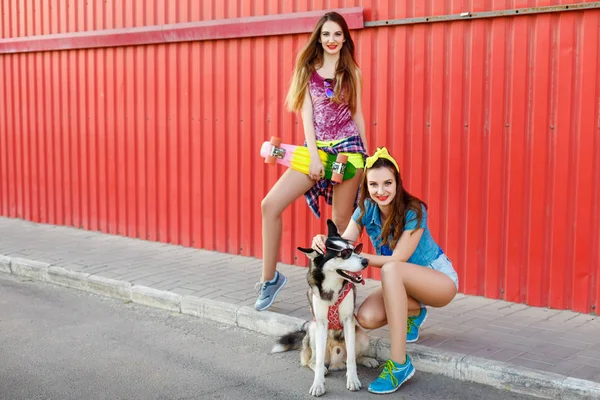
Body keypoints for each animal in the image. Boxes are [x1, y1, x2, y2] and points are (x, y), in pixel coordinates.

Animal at [270, 219, 378, 396]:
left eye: (354, 249)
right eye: (344, 254)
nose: (365, 261)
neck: (332, 286)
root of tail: (336, 362)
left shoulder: (348, 321)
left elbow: (352, 359)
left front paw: (353, 380)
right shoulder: (320, 323)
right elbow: (320, 361)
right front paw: (318, 385)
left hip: (361, 335)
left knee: (352, 357)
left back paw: (365, 360)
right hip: (312, 329)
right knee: (312, 360)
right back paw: (322, 368)